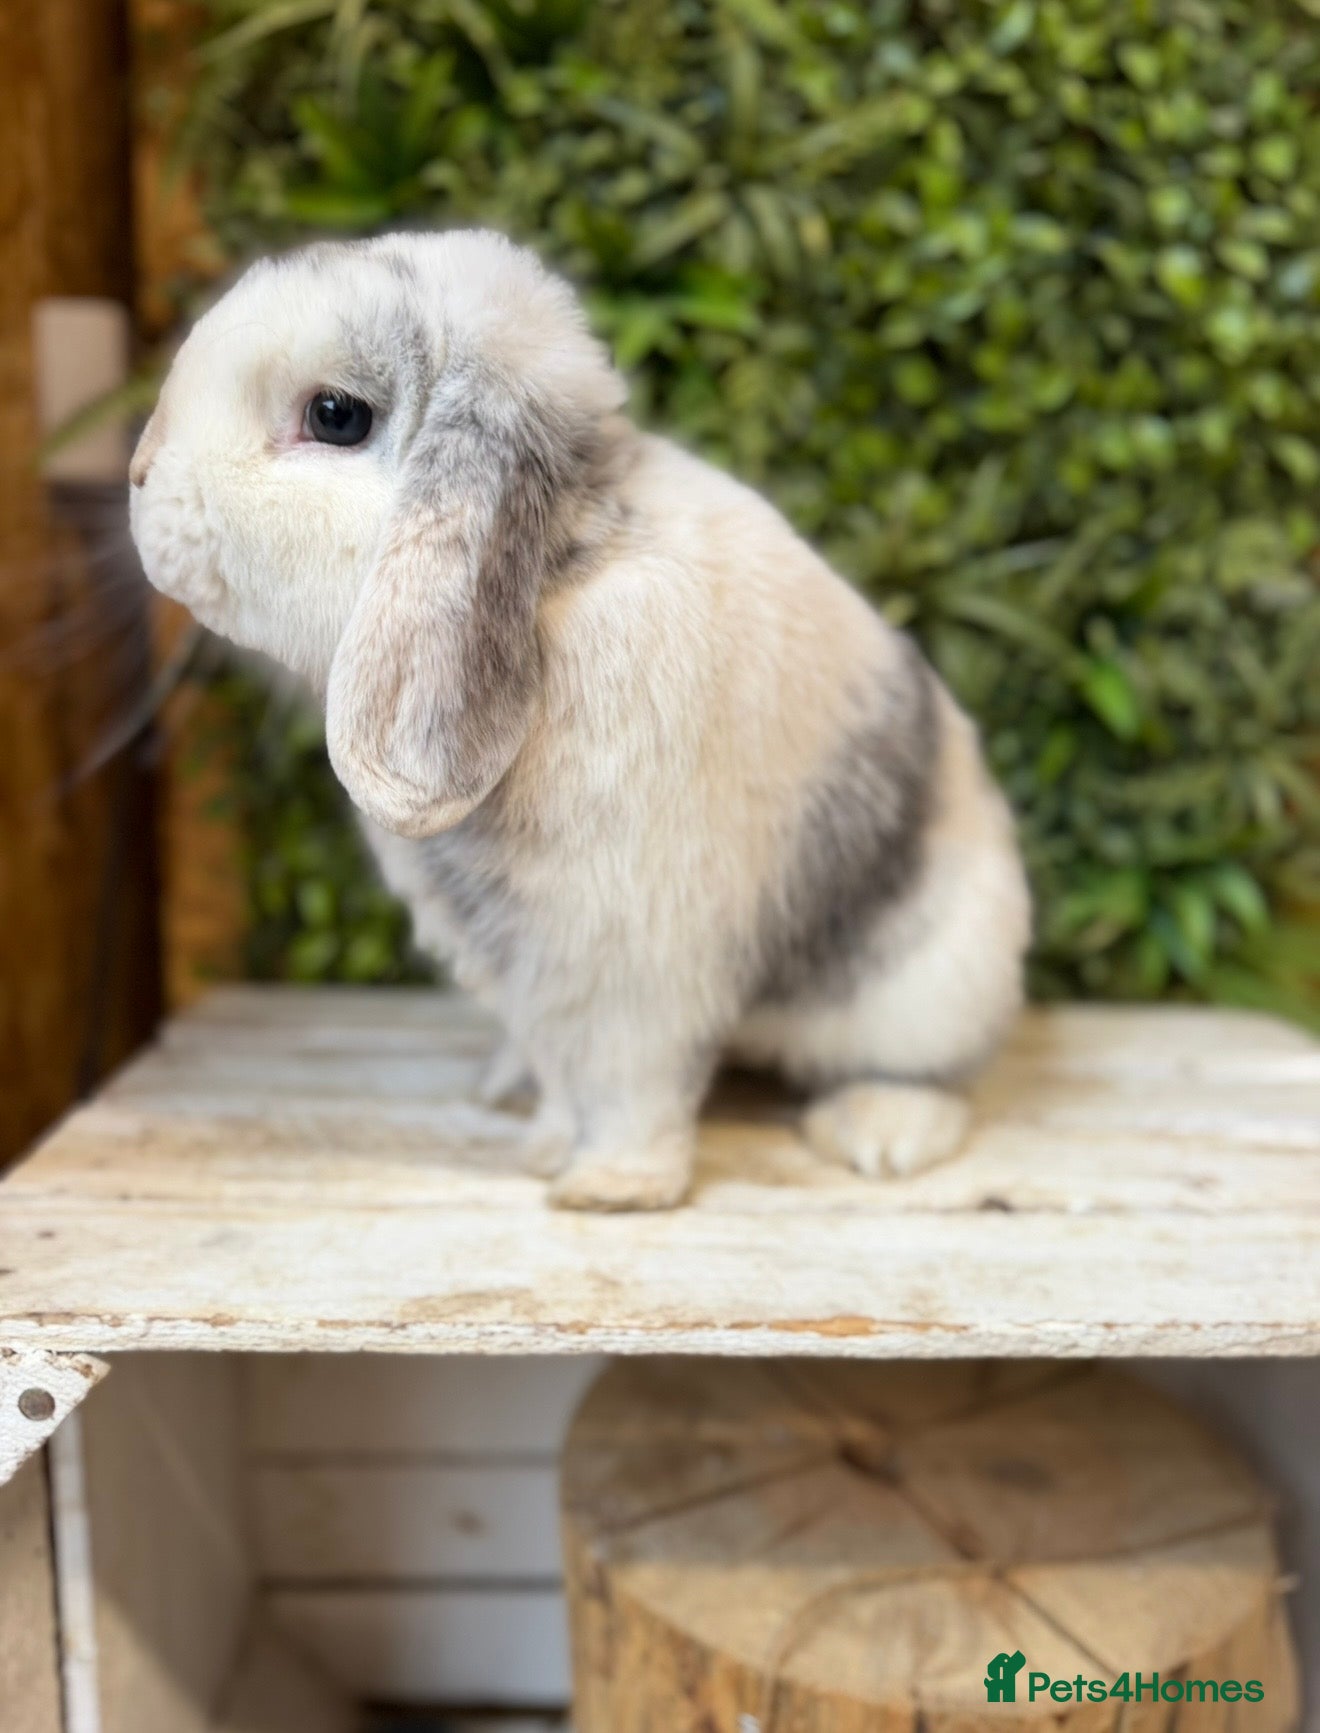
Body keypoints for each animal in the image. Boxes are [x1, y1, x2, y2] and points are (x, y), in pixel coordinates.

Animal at [129, 229, 1031, 1211]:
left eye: (335, 415)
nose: (137, 474)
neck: (564, 573)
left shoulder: (627, 959)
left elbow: (630, 1084)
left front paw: (609, 1188)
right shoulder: (533, 965)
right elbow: (569, 1073)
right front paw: (550, 1146)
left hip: (928, 985)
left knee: (928, 1072)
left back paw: (879, 1132)